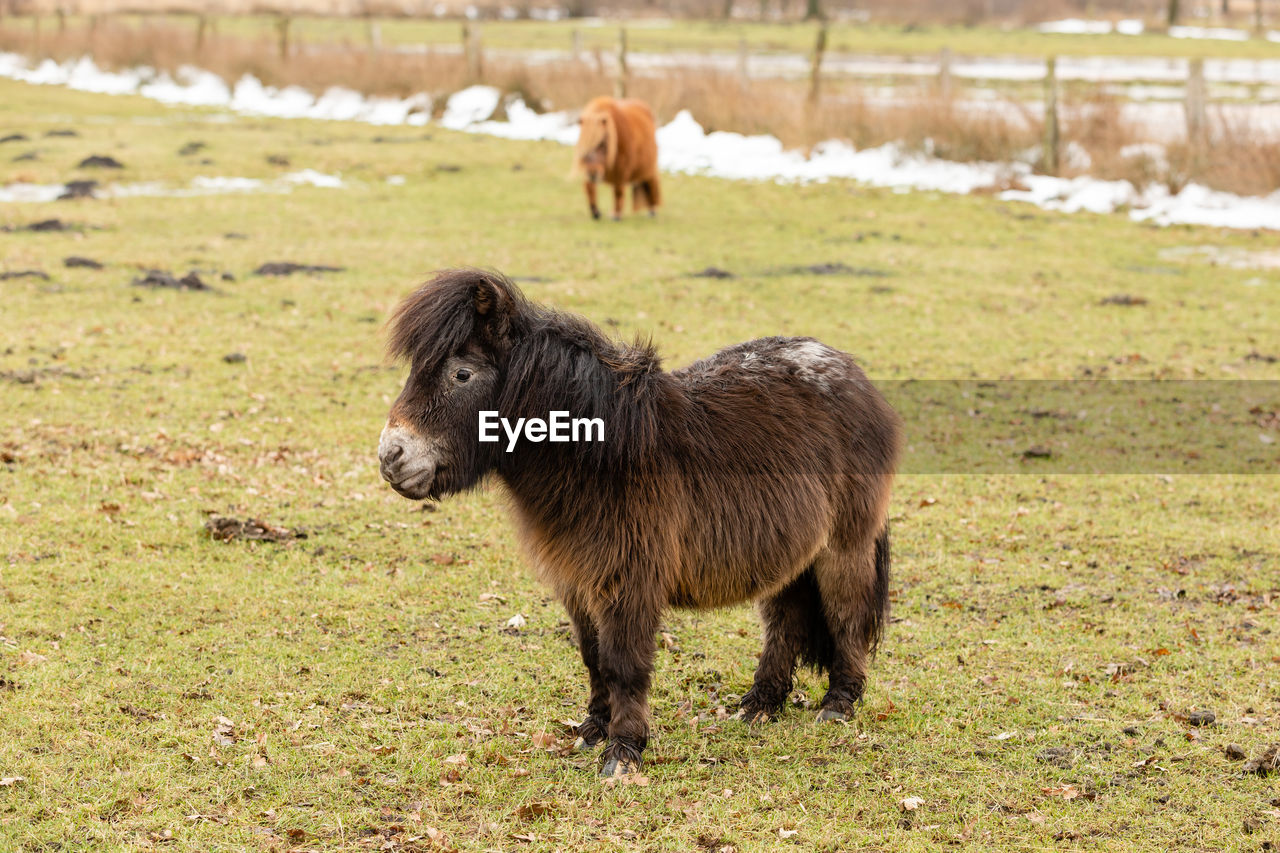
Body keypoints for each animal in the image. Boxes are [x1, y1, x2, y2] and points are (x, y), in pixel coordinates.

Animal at [376, 268, 901, 773]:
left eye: (461, 373)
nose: (390, 458)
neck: (599, 453)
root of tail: (854, 373)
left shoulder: (628, 582)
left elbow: (624, 663)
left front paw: (624, 751)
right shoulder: (577, 582)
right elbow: (593, 659)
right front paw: (593, 730)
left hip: (844, 547)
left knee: (847, 614)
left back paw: (838, 703)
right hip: (789, 556)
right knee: (786, 623)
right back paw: (759, 705)